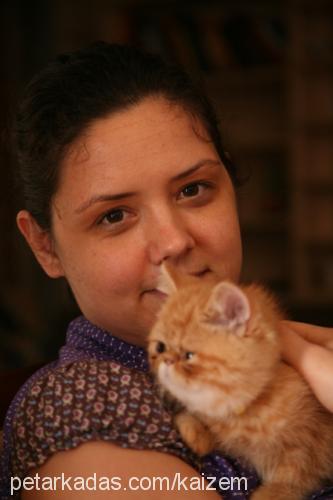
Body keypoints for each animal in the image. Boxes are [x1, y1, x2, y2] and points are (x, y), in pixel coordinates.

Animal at [148, 264, 332, 498]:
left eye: (189, 355)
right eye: (160, 347)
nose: (167, 361)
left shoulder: (310, 445)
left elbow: (291, 479)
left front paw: (271, 493)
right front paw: (196, 432)